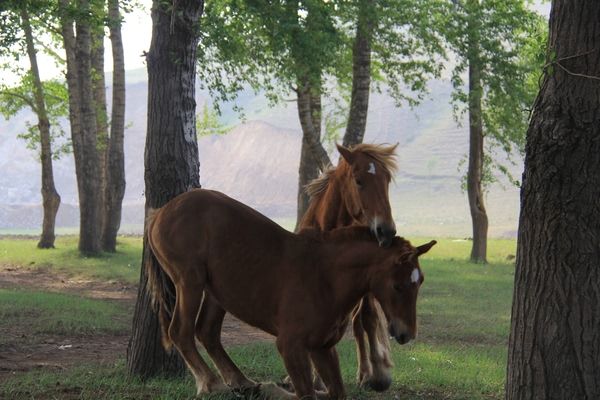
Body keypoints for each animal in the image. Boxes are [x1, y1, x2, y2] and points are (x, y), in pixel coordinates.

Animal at [145, 189, 436, 398]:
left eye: (420, 281)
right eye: (397, 285)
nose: (406, 333)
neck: (325, 277)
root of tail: (160, 212)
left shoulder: (322, 348)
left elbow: (335, 393)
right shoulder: (291, 346)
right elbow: (306, 393)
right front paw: (275, 389)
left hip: (216, 292)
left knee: (207, 332)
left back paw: (242, 382)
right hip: (190, 281)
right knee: (180, 331)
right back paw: (212, 384)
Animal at [298, 143, 398, 390]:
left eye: (387, 180)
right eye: (359, 180)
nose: (387, 231)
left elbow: (368, 319)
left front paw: (379, 374)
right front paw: (316, 378)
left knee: (360, 323)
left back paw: (367, 373)